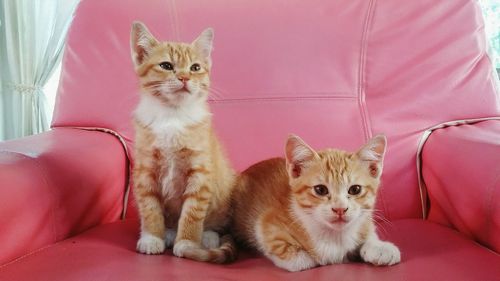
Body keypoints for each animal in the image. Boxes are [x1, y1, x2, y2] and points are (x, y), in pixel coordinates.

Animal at [131, 21, 236, 262]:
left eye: (195, 67)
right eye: (166, 65)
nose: (185, 78)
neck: (172, 116)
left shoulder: (201, 172)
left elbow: (192, 212)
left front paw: (187, 243)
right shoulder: (144, 171)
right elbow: (150, 208)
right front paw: (152, 237)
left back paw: (207, 237)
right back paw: (168, 233)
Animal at [232, 135, 400, 270]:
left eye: (355, 189)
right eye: (320, 190)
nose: (340, 209)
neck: (334, 236)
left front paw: (380, 247)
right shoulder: (266, 223)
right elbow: (293, 257)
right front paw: (311, 259)